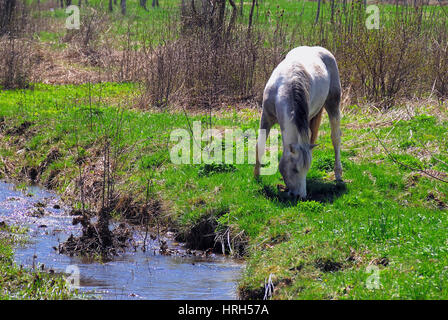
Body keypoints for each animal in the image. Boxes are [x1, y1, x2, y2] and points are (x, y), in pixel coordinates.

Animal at [256, 46, 344, 199]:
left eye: (306, 169)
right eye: (295, 170)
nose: (301, 196)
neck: (285, 88)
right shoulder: (266, 117)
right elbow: (260, 145)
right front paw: (256, 177)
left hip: (333, 103)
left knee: (335, 138)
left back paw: (338, 174)